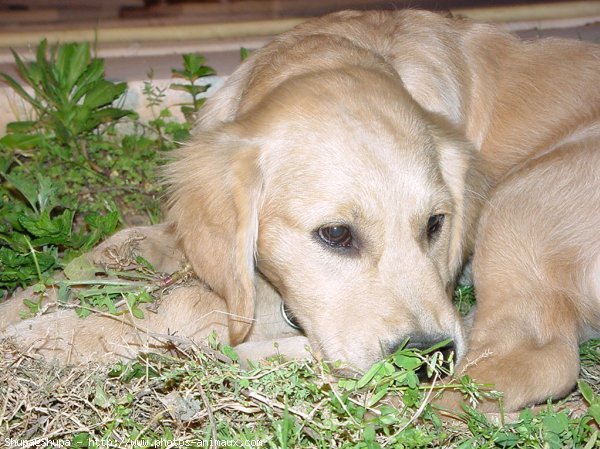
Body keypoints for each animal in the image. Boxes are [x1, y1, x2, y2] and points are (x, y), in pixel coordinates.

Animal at [1, 10, 600, 412]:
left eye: (435, 224)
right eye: (335, 234)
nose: (428, 359)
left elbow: (176, 304)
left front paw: (44, 336)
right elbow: (109, 250)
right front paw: (25, 304)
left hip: (522, 199)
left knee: (536, 361)